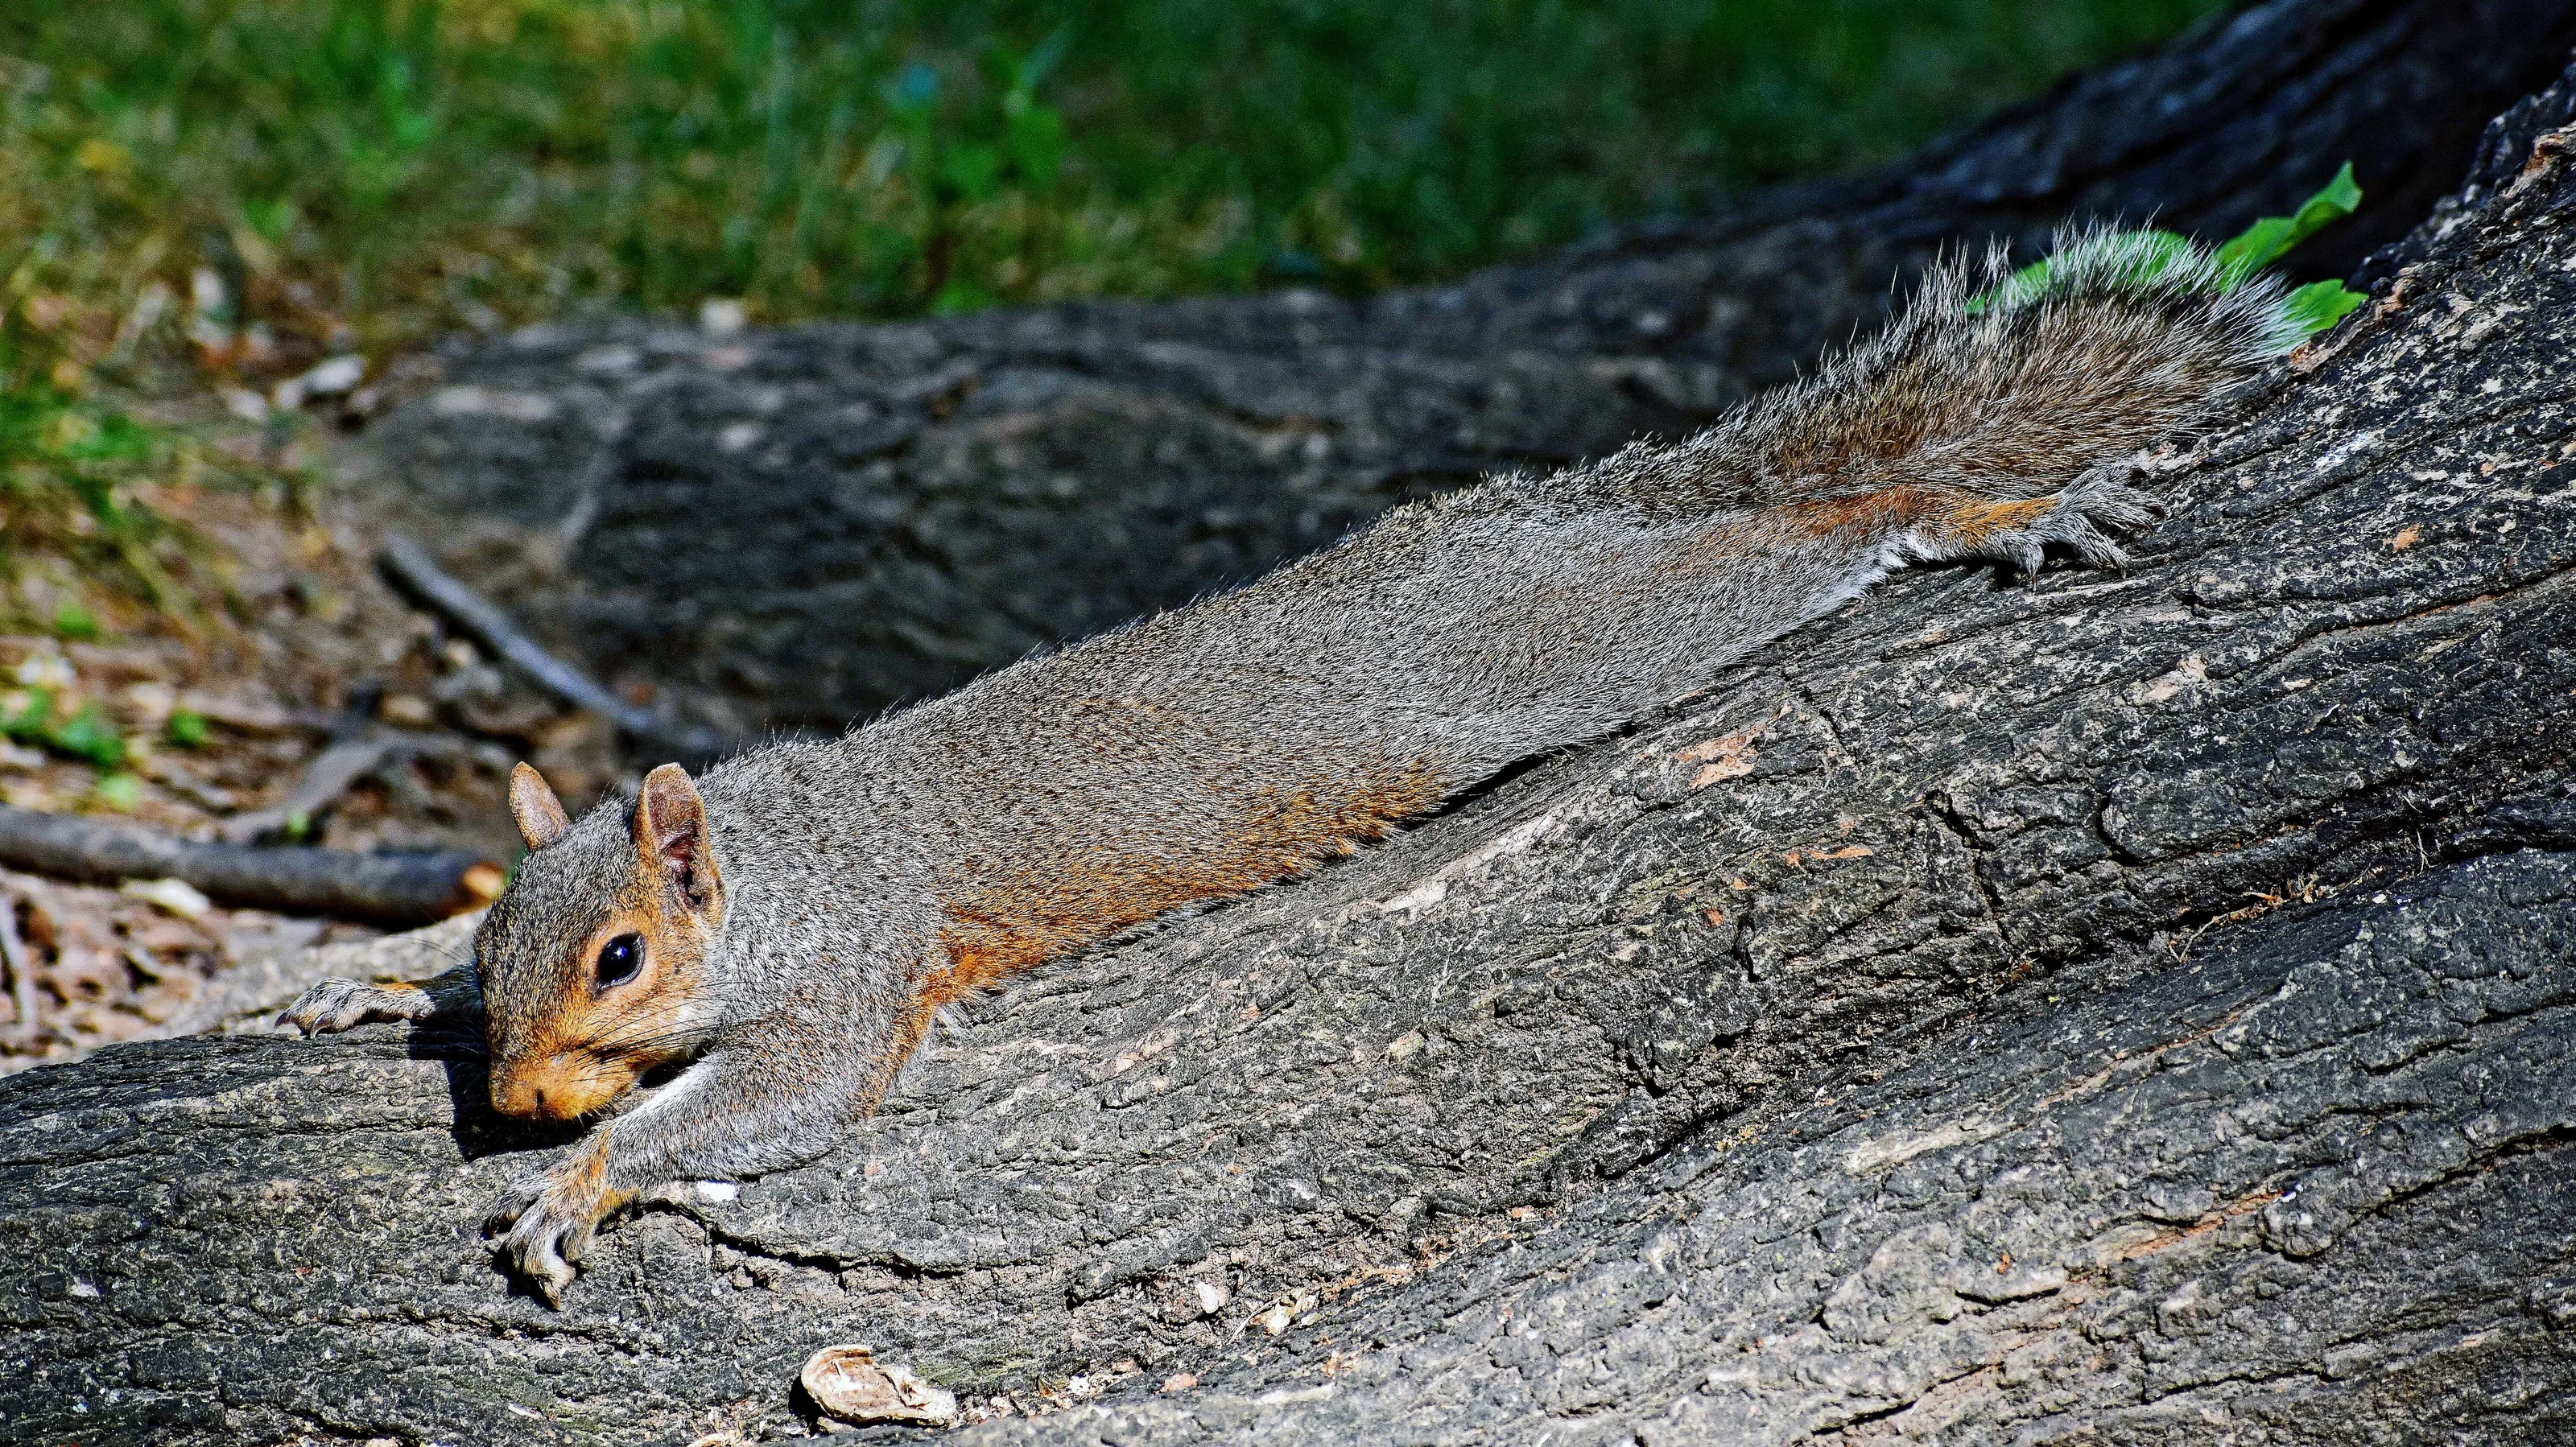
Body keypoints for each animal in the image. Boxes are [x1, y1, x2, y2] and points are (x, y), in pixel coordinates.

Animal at [285, 229, 2305, 1304]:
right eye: (493, 954)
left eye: (621, 954)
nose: (517, 1094)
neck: (776, 859)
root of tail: (1557, 515)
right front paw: (375, 989)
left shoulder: (855, 975)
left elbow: (771, 1103)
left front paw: (583, 1174)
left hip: (1592, 636)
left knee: (1818, 528)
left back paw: (1982, 512)